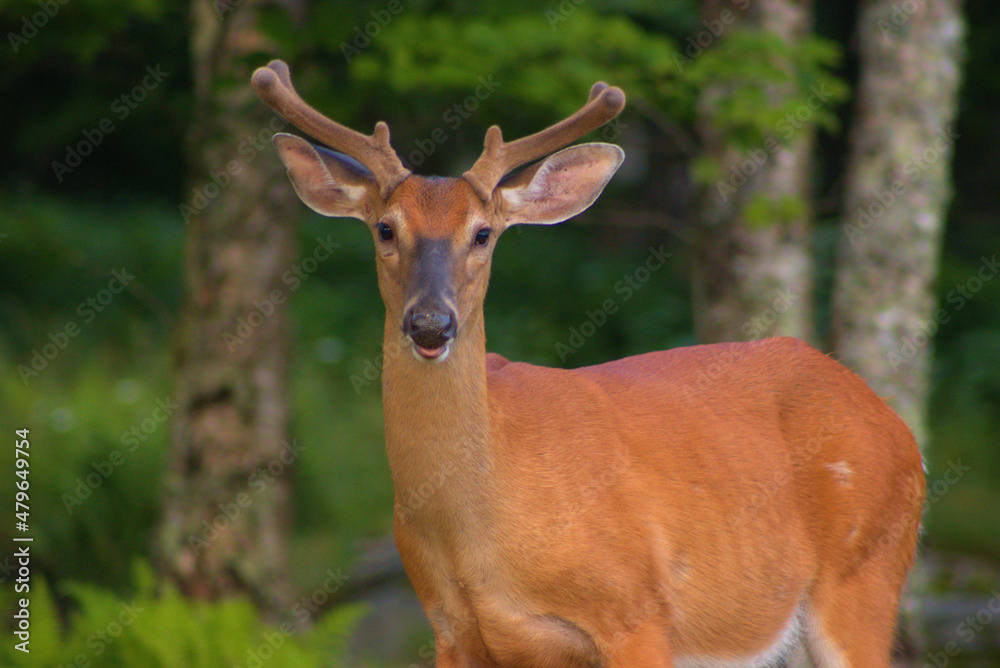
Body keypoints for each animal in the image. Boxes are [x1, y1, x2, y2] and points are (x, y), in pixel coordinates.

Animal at [254, 58, 924, 668]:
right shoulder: (452, 630)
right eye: (386, 229)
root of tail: (899, 429)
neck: (477, 539)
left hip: (865, 570)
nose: (430, 323)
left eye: (482, 233)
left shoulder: (637, 611)